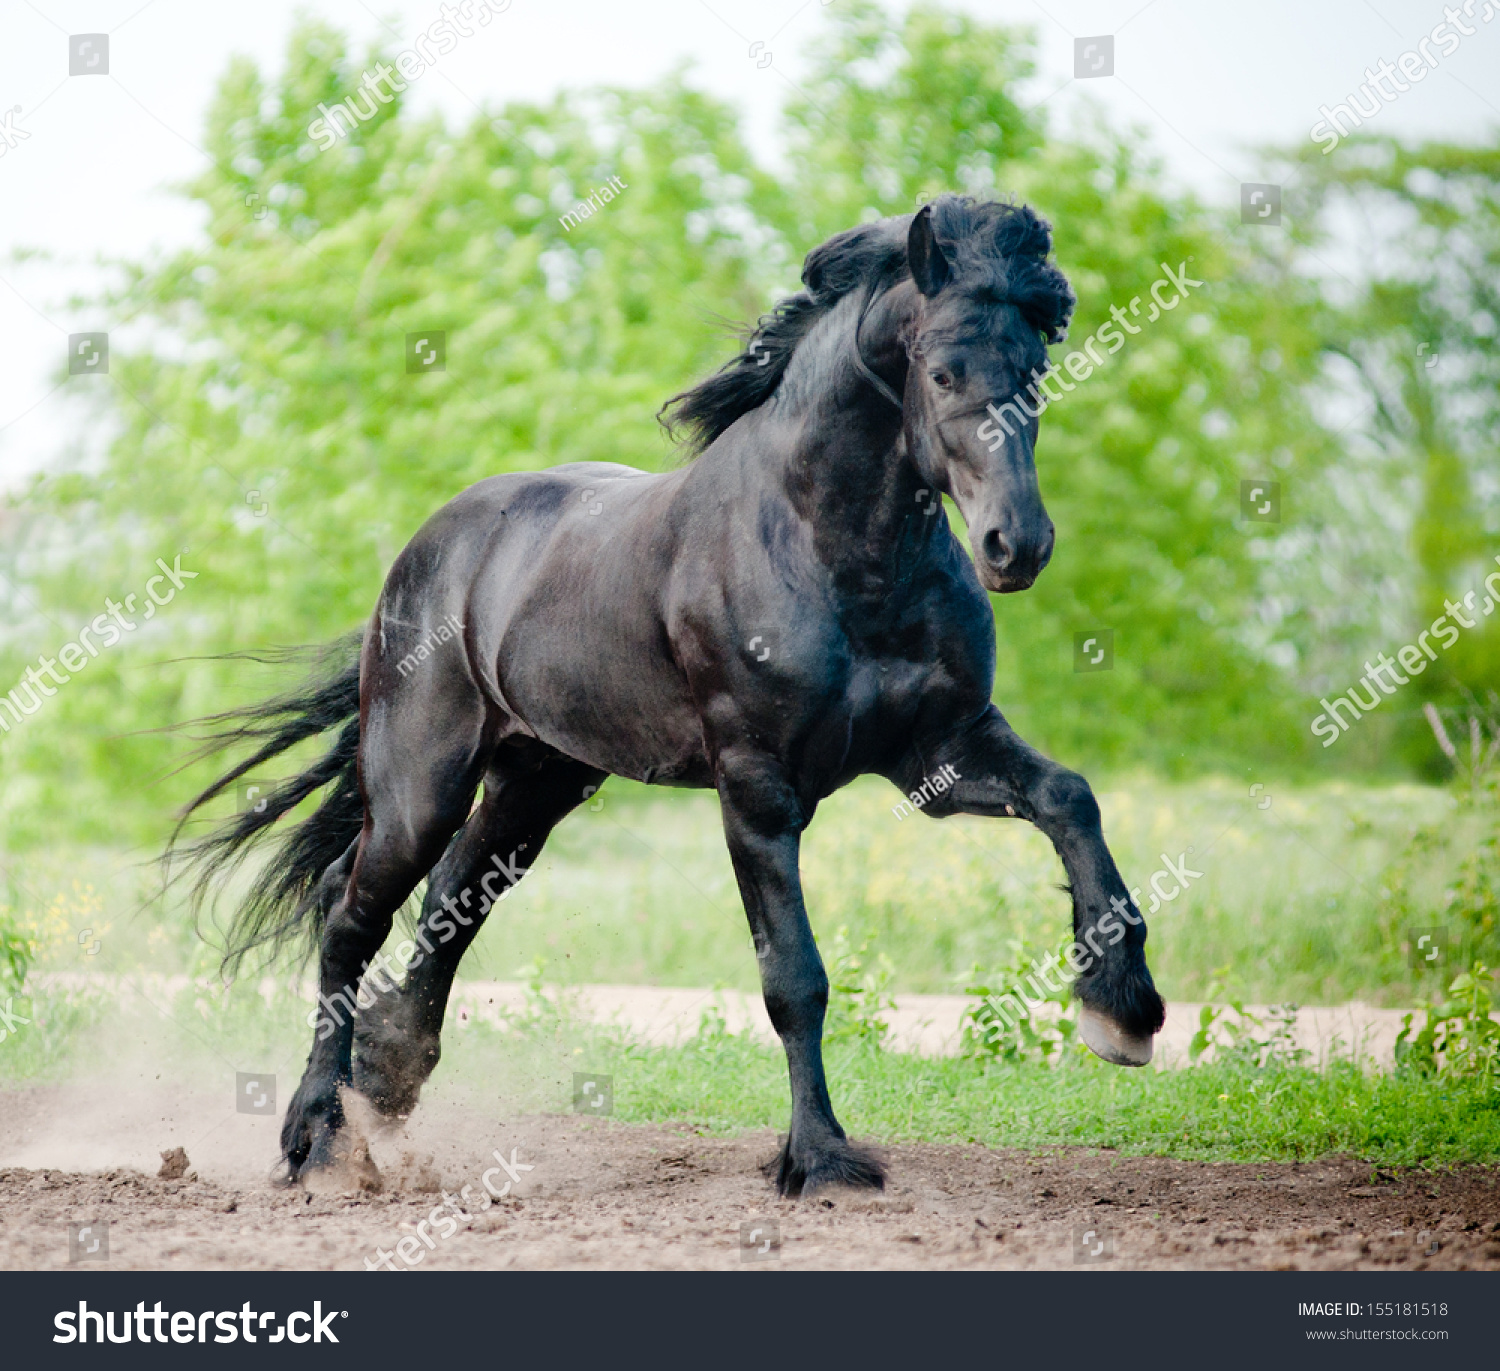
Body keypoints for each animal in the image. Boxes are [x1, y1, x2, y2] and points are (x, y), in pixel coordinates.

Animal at [172, 195, 1158, 1200]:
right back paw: (315, 1138)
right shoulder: (757, 788)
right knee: (349, 913)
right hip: (421, 787)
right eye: (944, 366)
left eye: (1036, 365)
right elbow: (794, 978)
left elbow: (1069, 797)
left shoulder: (940, 749)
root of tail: (427, 549)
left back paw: (385, 1078)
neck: (834, 551)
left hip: (537, 783)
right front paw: (821, 1158)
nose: (1016, 545)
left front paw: (1123, 1013)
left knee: (452, 899)